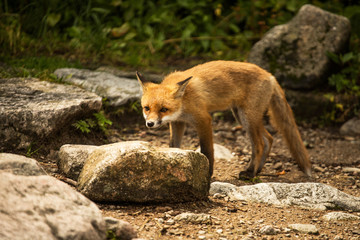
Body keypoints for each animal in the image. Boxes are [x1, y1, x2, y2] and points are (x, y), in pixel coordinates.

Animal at [136, 60, 310, 178]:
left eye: (163, 109)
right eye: (147, 108)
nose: (150, 124)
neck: (185, 100)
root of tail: (270, 75)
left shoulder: (204, 120)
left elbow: (207, 151)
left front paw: (208, 174)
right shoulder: (178, 122)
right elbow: (174, 147)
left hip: (247, 117)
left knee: (260, 144)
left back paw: (250, 173)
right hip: (241, 116)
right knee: (269, 138)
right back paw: (257, 170)